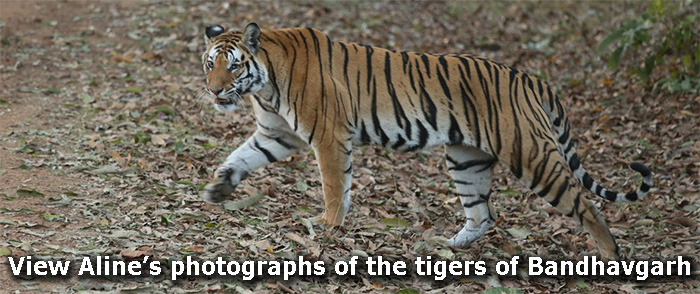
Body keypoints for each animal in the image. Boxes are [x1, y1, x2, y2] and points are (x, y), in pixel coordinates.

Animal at [200, 23, 652, 262]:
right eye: (209, 63)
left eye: (233, 66)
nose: (214, 91)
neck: (264, 85)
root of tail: (531, 79)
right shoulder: (277, 134)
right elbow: (240, 157)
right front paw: (218, 188)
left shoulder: (328, 136)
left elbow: (333, 185)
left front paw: (328, 226)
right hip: (466, 158)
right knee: (483, 213)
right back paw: (445, 246)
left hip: (531, 154)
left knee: (585, 204)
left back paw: (611, 256)